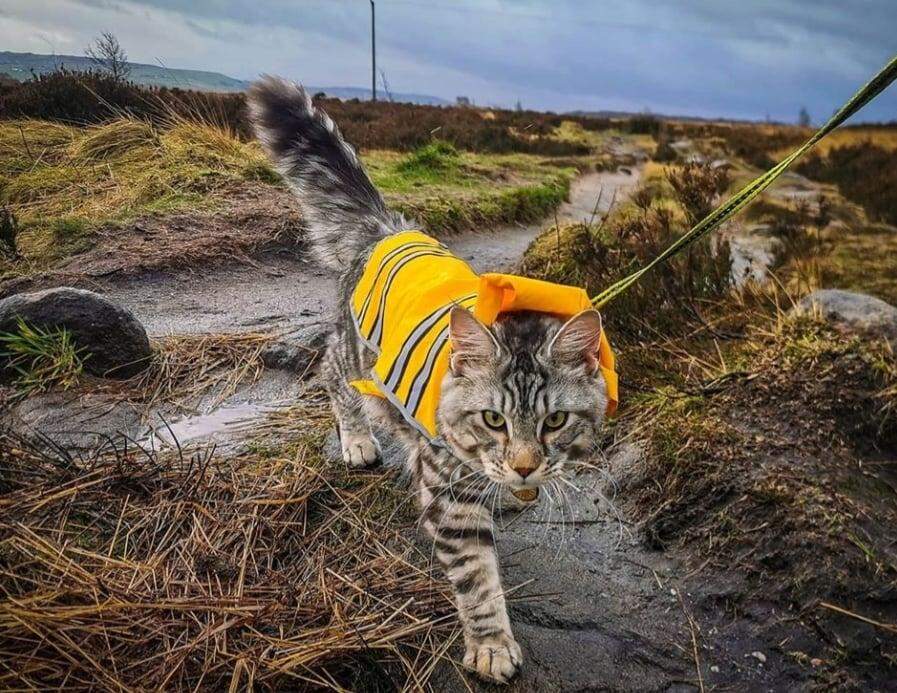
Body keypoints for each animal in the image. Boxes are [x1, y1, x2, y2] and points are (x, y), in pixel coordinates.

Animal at [248, 78, 612, 684]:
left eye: (556, 420)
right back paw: (357, 440)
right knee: (330, 373)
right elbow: (479, 581)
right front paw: (491, 645)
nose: (524, 467)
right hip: (353, 356)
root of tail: (389, 229)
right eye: (493, 419)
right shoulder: (451, 496)